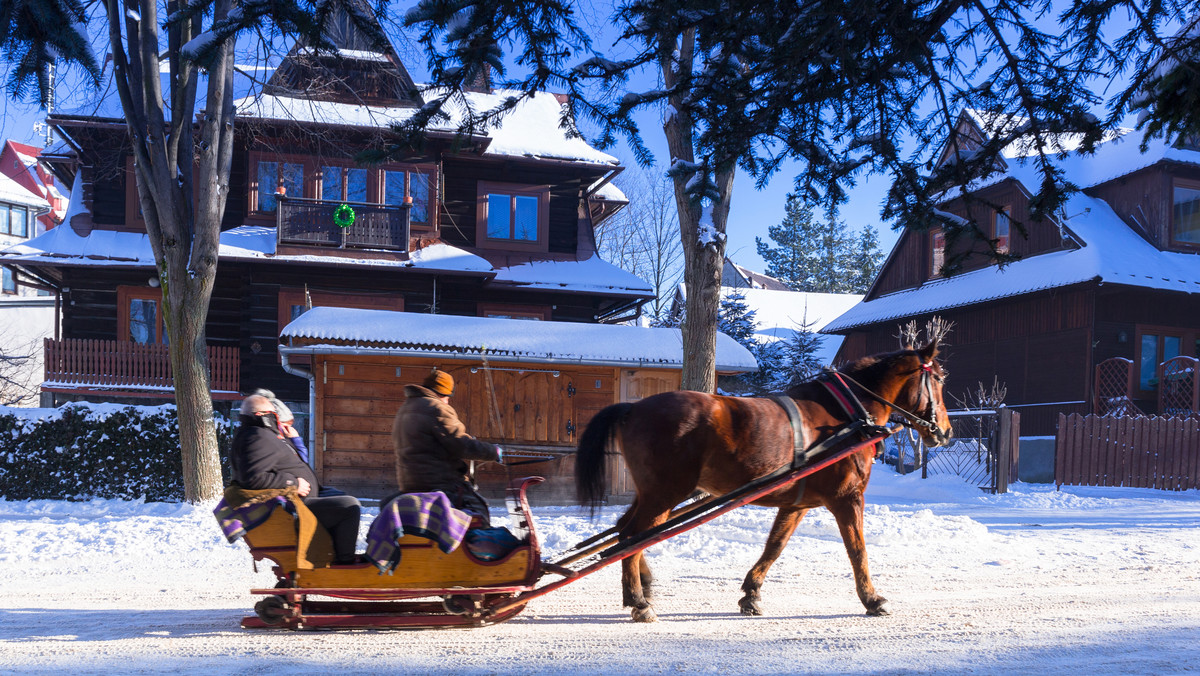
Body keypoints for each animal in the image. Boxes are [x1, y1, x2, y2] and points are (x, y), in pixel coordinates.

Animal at [576, 341, 950, 619]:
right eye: (939, 379)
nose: (944, 431)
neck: (846, 414)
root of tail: (633, 408)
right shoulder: (847, 498)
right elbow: (857, 550)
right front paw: (872, 599)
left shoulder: (797, 503)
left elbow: (775, 545)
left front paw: (751, 593)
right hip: (665, 494)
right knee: (631, 537)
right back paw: (639, 601)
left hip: (653, 494)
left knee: (626, 533)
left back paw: (644, 585)